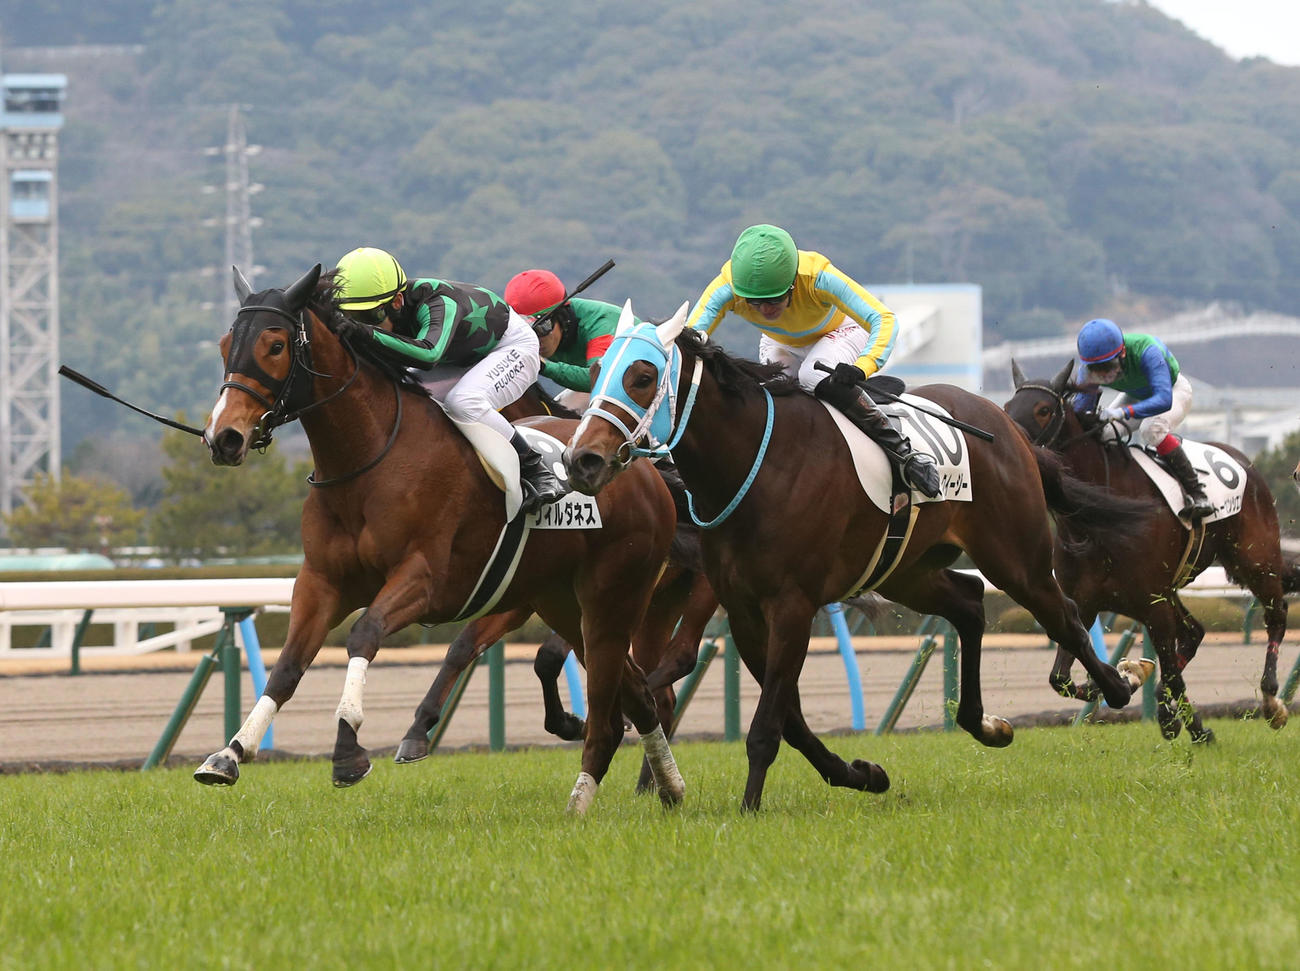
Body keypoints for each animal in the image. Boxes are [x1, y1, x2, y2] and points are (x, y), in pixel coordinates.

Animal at [194, 264, 685, 814]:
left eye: (275, 345)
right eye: (225, 344)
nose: (223, 437)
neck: (369, 460)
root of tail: (640, 466)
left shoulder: (425, 581)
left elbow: (366, 634)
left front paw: (348, 750)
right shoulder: (321, 583)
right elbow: (287, 666)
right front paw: (230, 754)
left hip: (615, 594)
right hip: (563, 603)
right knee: (637, 689)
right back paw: (669, 786)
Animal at [563, 304, 1155, 811]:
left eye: (642, 376)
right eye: (596, 372)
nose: (581, 459)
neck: (755, 464)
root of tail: (1005, 423)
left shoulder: (793, 605)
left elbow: (767, 725)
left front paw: (750, 807)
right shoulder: (747, 610)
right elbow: (790, 720)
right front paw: (862, 774)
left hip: (1014, 556)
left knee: (1065, 616)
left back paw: (1121, 683)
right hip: (906, 571)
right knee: (969, 603)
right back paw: (986, 724)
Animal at [1005, 359, 1299, 739]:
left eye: (1043, 410)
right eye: (1008, 407)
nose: (1013, 443)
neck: (1098, 522)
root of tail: (1243, 460)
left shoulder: (1152, 604)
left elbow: (1170, 671)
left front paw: (1188, 724)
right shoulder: (1084, 603)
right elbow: (1061, 678)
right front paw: (1131, 683)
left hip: (1255, 560)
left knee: (1275, 614)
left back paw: (1271, 700)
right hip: (1171, 588)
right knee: (1194, 632)